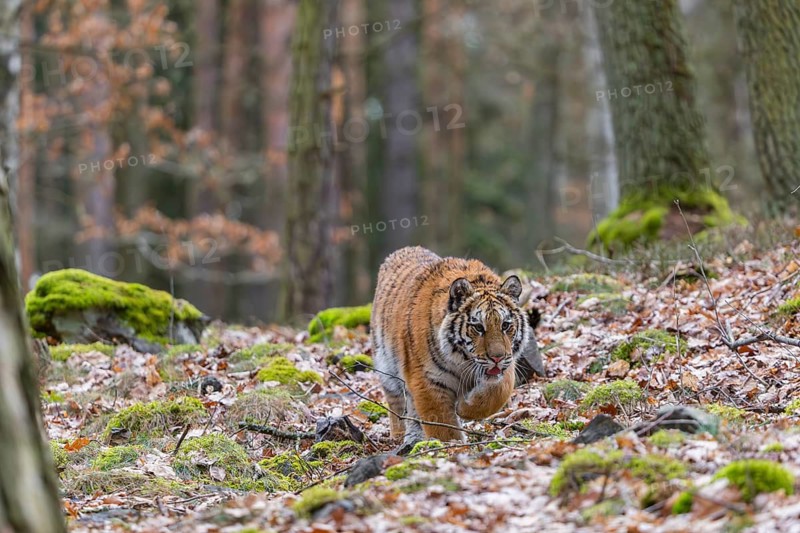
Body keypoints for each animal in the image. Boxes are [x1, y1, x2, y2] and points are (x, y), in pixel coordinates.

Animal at [370, 246, 532, 447]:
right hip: (387, 369)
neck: (462, 362)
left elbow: (497, 393)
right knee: (397, 405)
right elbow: (442, 425)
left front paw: (464, 407)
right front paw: (452, 446)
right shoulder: (427, 381)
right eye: (478, 327)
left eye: (505, 325)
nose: (497, 357)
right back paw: (400, 438)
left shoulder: (506, 366)